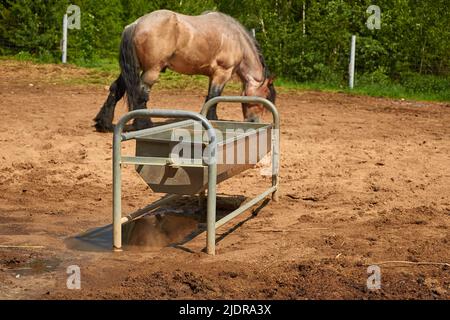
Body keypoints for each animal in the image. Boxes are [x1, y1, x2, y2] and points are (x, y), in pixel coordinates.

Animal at [93, 9, 276, 132]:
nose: (254, 121)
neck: (236, 38)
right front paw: (213, 120)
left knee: (116, 89)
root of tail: (135, 24)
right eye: (265, 96)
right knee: (140, 94)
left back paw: (104, 124)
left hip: (133, 69)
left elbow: (210, 98)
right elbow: (214, 97)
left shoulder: (213, 76)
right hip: (151, 71)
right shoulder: (222, 73)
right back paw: (143, 125)